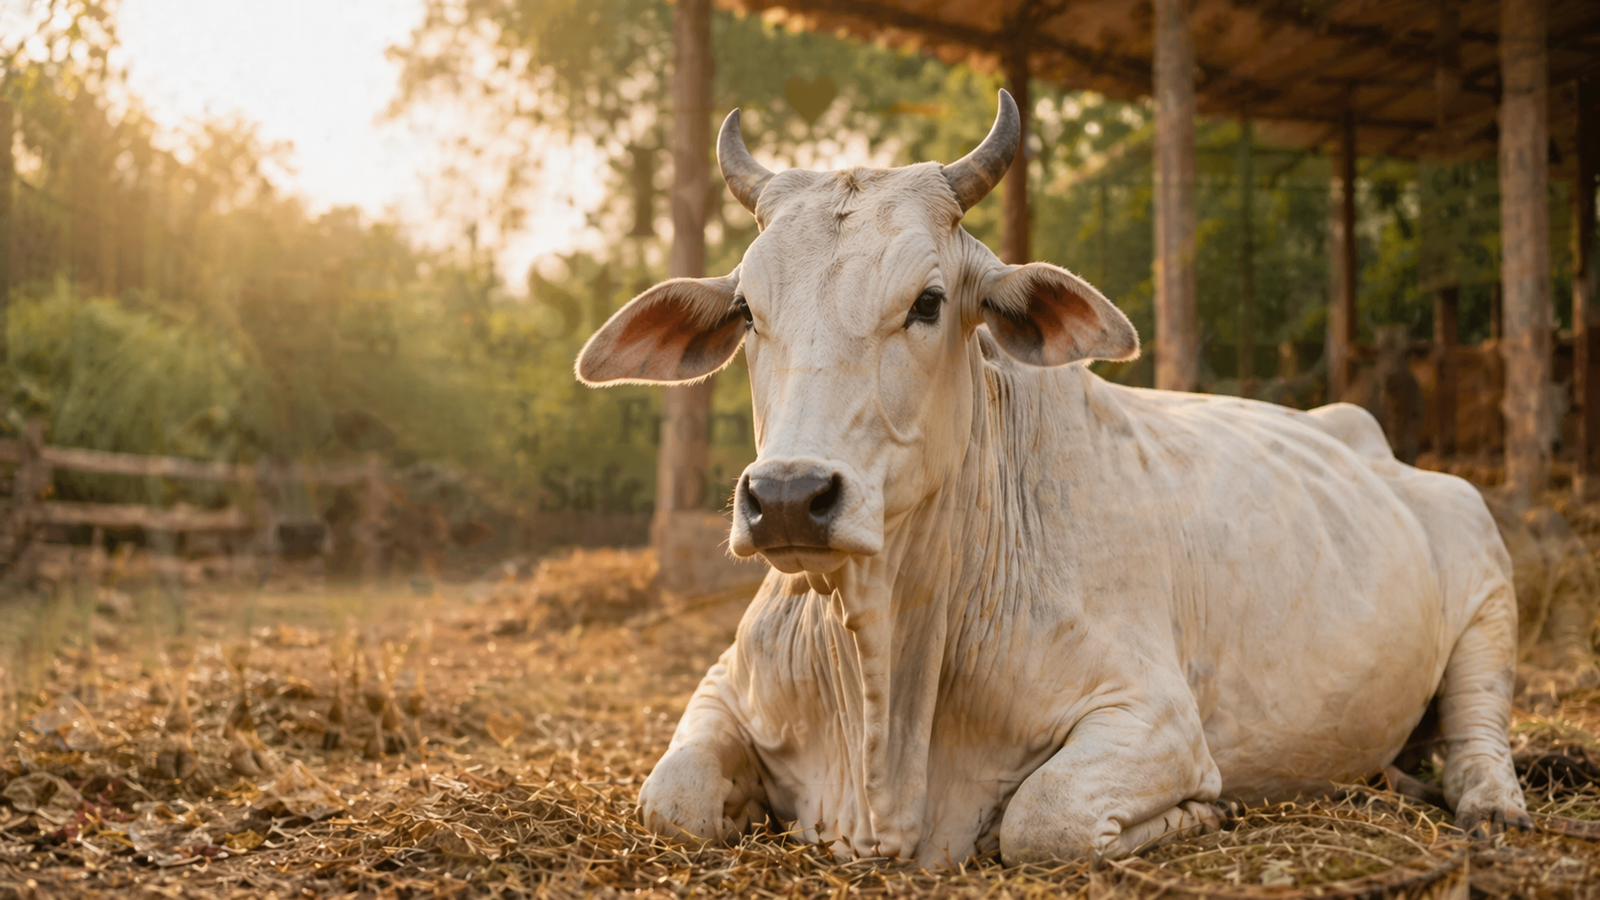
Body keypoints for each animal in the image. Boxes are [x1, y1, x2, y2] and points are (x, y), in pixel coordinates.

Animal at [575, 91, 1529, 866]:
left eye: (928, 303)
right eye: (747, 312)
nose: (786, 498)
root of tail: (1363, 434)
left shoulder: (1155, 717)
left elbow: (1047, 820)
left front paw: (1199, 814)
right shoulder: (721, 687)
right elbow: (672, 799)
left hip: (1488, 583)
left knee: (1480, 724)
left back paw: (1488, 803)